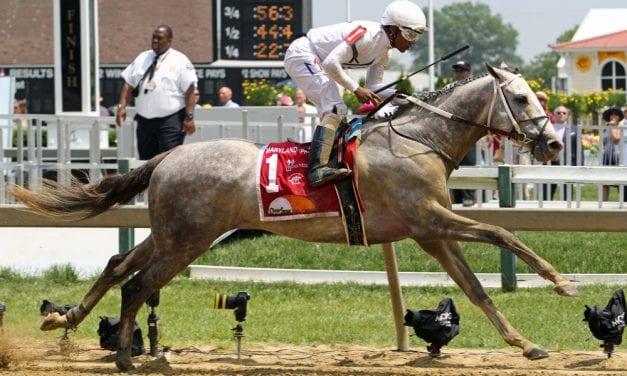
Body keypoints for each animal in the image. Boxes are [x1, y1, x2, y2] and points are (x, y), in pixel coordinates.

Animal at [11, 64, 580, 370]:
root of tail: (167, 157)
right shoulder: (431, 221)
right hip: (186, 241)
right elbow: (502, 231)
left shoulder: (430, 231)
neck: (418, 140)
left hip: (175, 233)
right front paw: (561, 282)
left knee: (116, 264)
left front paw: (525, 344)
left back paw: (66, 318)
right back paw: (127, 356)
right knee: (135, 284)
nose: (553, 144)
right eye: (522, 97)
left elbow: (476, 288)